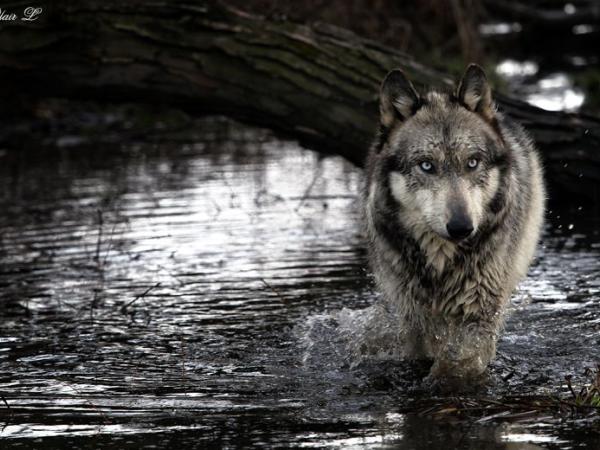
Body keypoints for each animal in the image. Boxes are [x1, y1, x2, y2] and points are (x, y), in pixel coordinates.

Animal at [364, 64, 548, 390]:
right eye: (426, 166)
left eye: (472, 163)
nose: (461, 227)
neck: (440, 262)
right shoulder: (415, 314)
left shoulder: (479, 311)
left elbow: (461, 362)